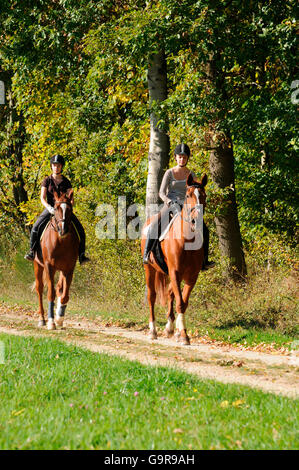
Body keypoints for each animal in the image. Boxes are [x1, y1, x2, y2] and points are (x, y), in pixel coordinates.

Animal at [33, 188, 79, 330]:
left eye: (69, 209)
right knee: (40, 289)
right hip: (38, 265)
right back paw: (42, 319)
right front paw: (51, 322)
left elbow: (64, 295)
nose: (63, 229)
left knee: (59, 288)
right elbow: (51, 294)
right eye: (56, 208)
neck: (61, 241)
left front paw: (59, 319)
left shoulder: (69, 268)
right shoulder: (49, 267)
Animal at [141, 173, 207, 346]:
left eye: (204, 195)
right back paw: (153, 331)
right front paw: (183, 335)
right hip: (149, 269)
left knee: (170, 292)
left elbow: (183, 302)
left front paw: (180, 332)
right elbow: (180, 302)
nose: (196, 221)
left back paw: (170, 328)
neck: (186, 240)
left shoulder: (192, 276)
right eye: (188, 195)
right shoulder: (175, 272)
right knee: (152, 296)